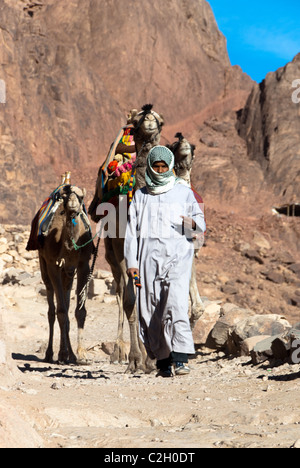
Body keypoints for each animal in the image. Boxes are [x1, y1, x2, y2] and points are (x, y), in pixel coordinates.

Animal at [38, 185, 93, 364]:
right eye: (67, 196)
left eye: (81, 197)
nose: (73, 206)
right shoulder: (52, 265)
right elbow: (61, 312)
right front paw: (65, 354)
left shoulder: (83, 264)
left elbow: (79, 311)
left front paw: (81, 354)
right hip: (44, 265)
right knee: (52, 308)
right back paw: (51, 354)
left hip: (68, 274)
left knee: (66, 300)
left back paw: (69, 354)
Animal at [89, 104, 164, 372]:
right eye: (138, 118)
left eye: (160, 119)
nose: (150, 118)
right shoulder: (124, 249)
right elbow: (131, 301)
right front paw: (136, 359)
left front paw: (153, 359)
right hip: (112, 252)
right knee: (122, 292)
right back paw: (122, 354)